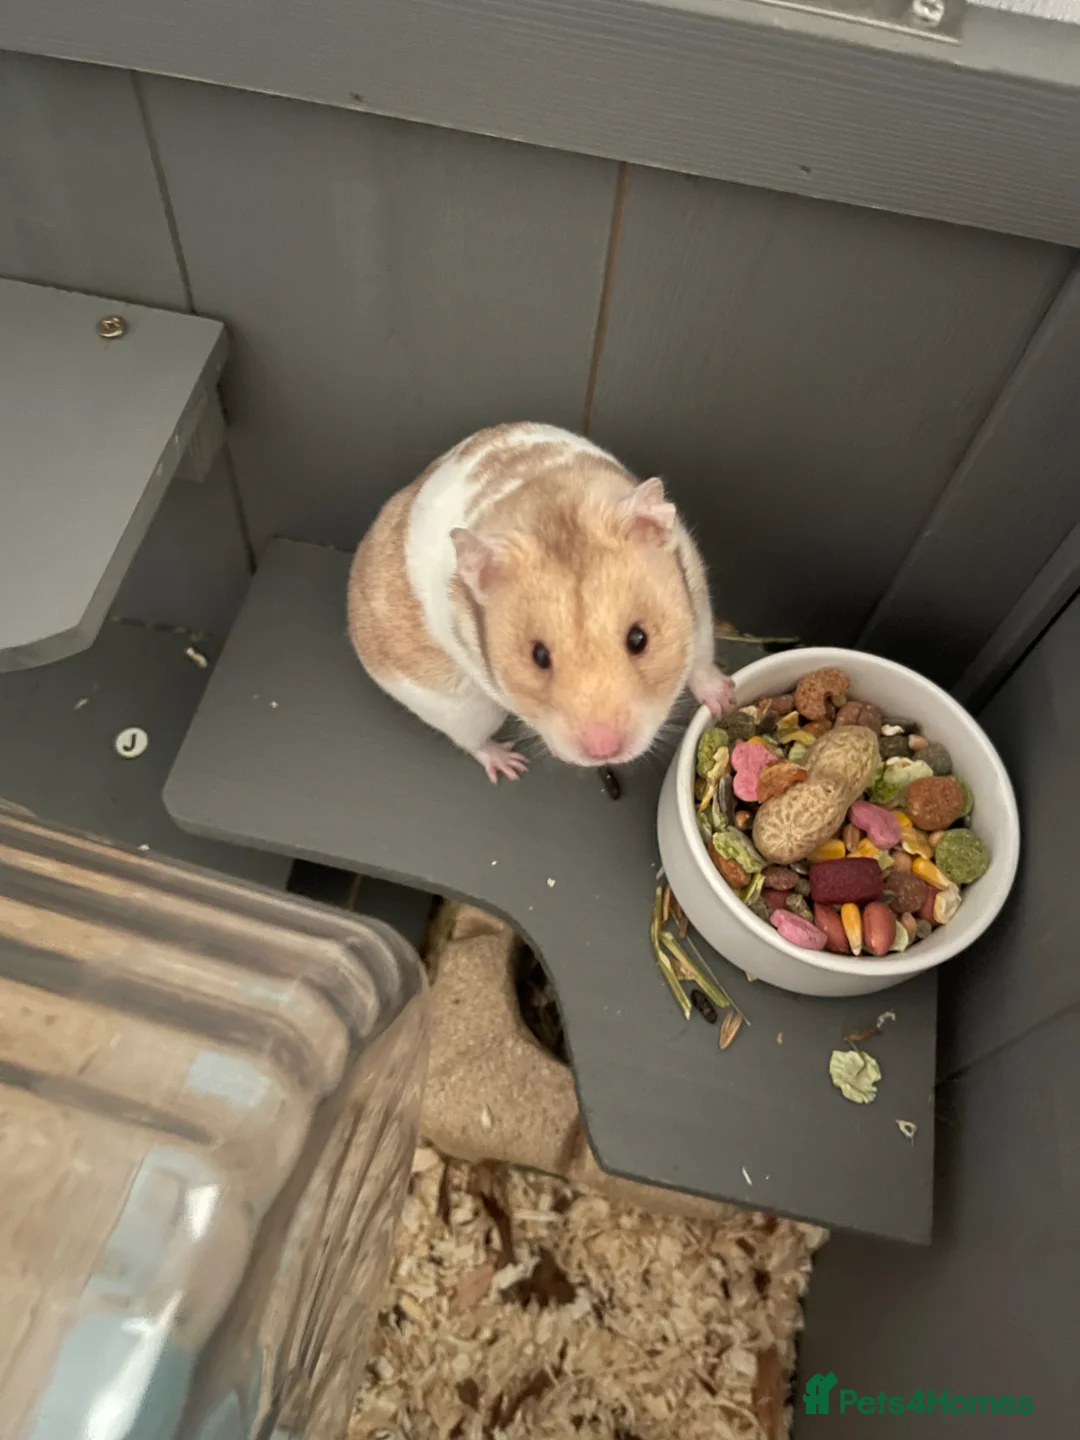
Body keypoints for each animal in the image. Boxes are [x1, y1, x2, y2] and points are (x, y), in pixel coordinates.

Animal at [347, 423, 734, 783]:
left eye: (639, 639)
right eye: (539, 656)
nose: (603, 751)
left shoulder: (697, 599)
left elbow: (701, 660)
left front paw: (725, 701)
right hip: (459, 709)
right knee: (472, 741)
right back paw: (509, 765)